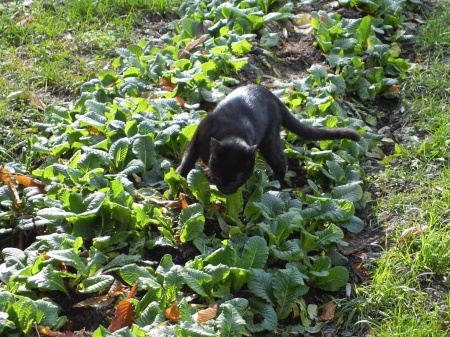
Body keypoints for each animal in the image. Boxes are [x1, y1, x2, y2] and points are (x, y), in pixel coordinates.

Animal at [177, 84, 362, 194]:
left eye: (237, 179)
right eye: (219, 176)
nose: (225, 191)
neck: (231, 132)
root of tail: (272, 95)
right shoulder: (198, 135)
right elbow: (188, 156)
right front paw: (179, 175)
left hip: (269, 141)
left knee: (281, 162)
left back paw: (276, 186)